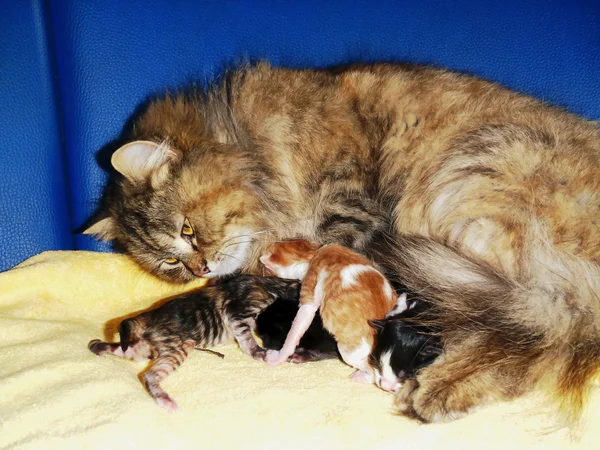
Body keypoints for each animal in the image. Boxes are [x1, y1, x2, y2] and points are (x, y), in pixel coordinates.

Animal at [89, 274, 300, 412]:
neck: (277, 285)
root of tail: (149, 316)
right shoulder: (238, 312)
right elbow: (247, 339)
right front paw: (260, 353)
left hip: (147, 348)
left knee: (124, 350)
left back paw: (97, 346)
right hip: (175, 350)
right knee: (148, 375)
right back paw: (165, 401)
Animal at [258, 239, 396, 384]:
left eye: (264, 269)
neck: (313, 253)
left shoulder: (309, 289)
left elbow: (295, 331)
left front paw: (279, 357)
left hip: (350, 351)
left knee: (373, 372)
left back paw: (360, 376)